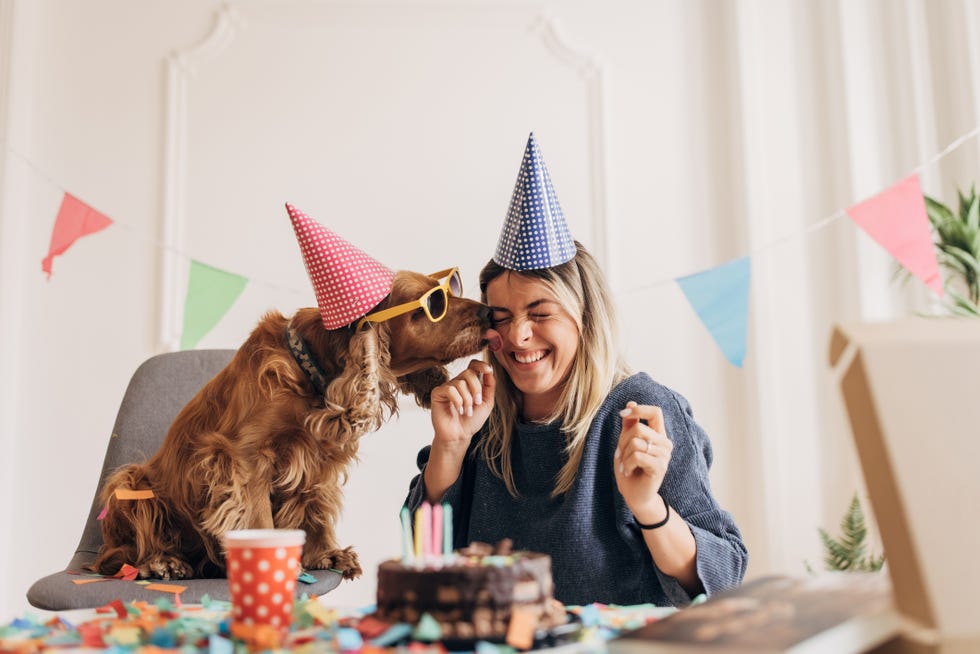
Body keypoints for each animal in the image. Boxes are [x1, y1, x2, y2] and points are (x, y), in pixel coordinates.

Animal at [92, 270, 490, 580]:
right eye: (434, 304)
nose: (489, 311)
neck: (313, 371)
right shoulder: (243, 458)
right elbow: (257, 516)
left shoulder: (318, 458)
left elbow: (315, 509)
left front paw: (325, 553)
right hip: (128, 481)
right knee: (116, 556)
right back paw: (161, 562)